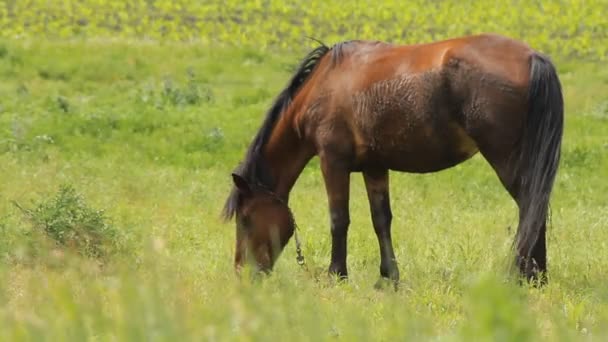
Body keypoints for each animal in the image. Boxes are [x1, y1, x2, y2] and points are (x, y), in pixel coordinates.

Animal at [222, 33, 564, 288]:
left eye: (245, 218)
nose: (242, 273)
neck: (325, 84)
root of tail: (532, 57)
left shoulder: (333, 162)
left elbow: (339, 219)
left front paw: (336, 275)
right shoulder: (375, 167)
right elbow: (381, 220)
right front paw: (388, 277)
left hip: (506, 158)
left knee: (529, 207)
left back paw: (526, 276)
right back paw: (537, 278)